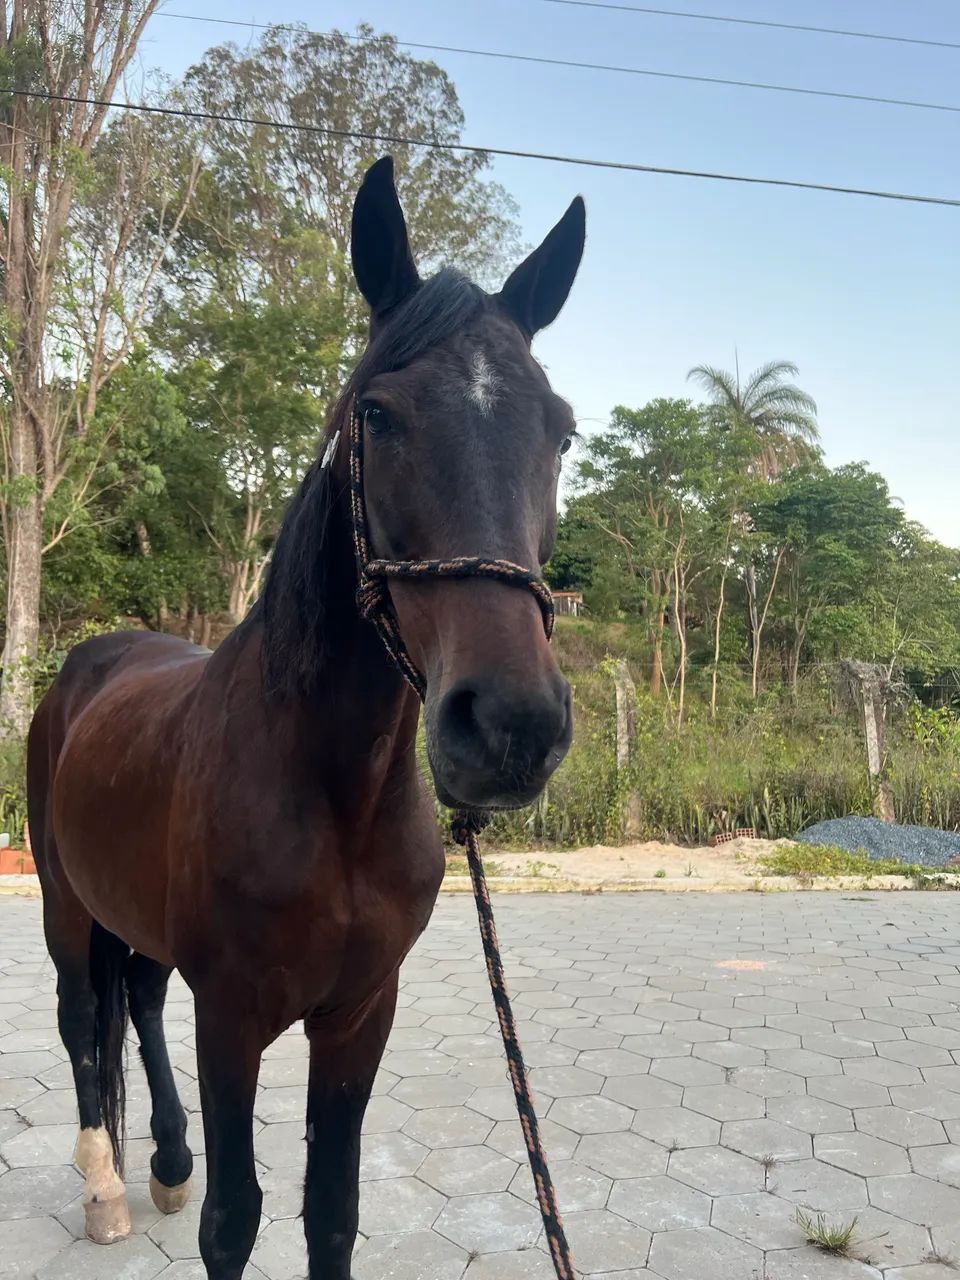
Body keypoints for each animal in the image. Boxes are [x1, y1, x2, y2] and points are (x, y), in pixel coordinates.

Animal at [27, 155, 585, 1279]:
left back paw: (165, 1157)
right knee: (82, 1019)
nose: (510, 724)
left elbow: (331, 1206)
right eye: (377, 415)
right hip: (64, 906)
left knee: (138, 1000)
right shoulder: (234, 1014)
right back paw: (105, 1183)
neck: (335, 794)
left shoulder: (360, 1012)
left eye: (561, 430)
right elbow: (235, 1217)